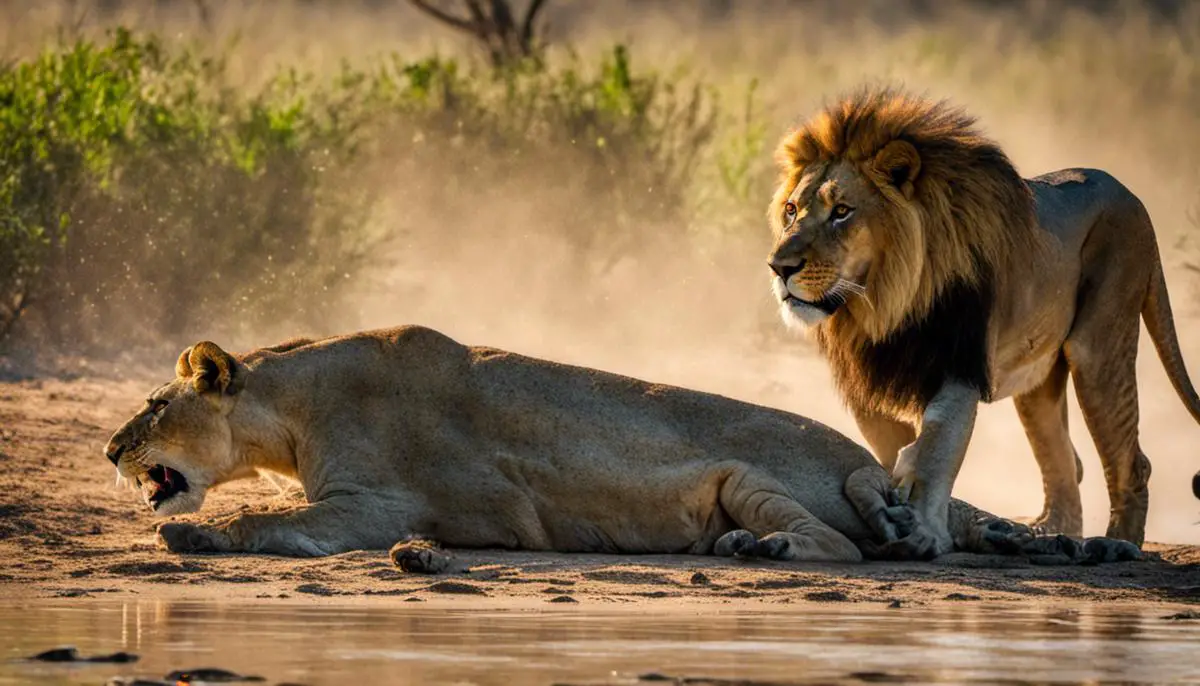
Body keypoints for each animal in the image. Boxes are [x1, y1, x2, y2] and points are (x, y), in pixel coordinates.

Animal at [768, 86, 1200, 556]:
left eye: (842, 211)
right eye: (791, 210)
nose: (779, 267)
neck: (878, 306)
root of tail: (1132, 196)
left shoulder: (958, 365)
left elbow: (936, 448)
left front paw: (924, 532)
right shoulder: (869, 387)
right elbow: (892, 455)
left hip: (1099, 346)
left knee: (1130, 461)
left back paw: (1117, 544)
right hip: (1038, 380)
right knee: (1065, 463)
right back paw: (1047, 533)